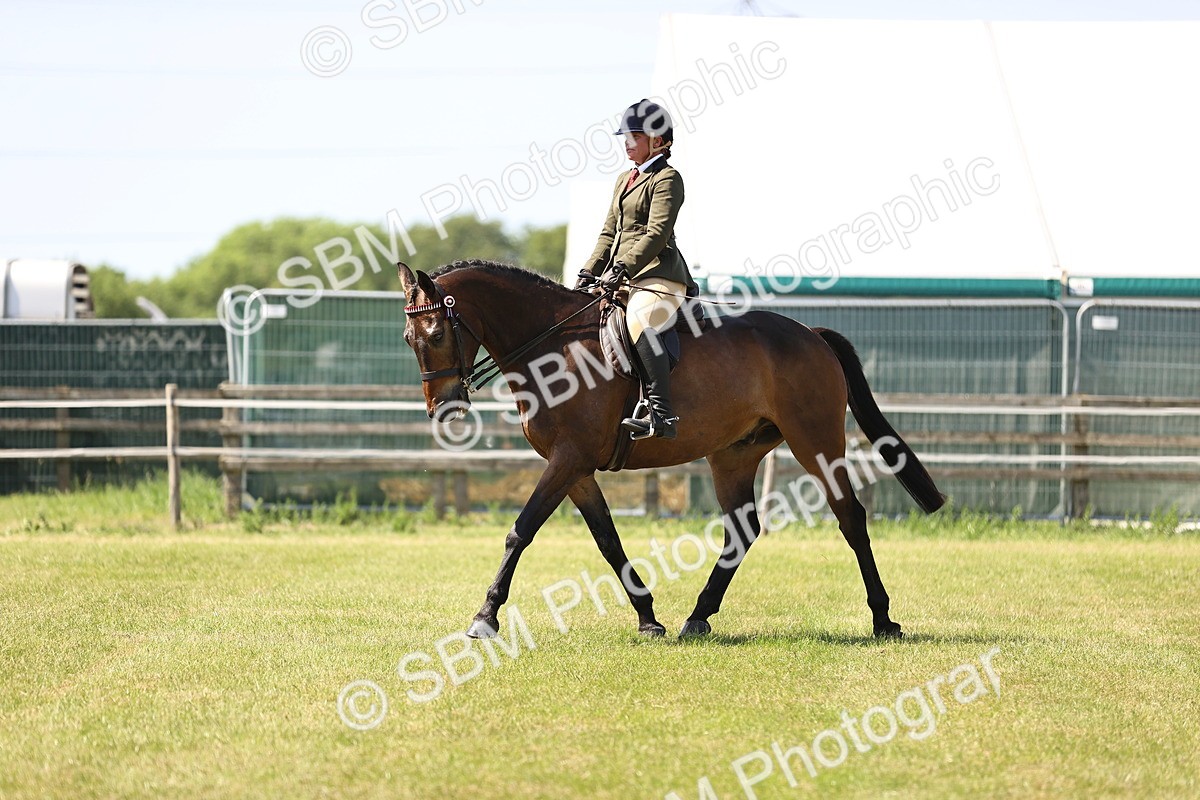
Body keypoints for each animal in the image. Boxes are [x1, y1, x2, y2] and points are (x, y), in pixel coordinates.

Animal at [397, 260, 945, 640]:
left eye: (439, 332)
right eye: (408, 337)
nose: (443, 407)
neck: (552, 346)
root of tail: (812, 334)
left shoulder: (569, 459)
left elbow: (520, 531)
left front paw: (485, 616)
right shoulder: (575, 468)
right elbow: (607, 539)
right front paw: (647, 617)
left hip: (816, 441)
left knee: (850, 516)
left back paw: (883, 620)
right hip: (733, 454)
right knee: (743, 530)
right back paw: (697, 617)